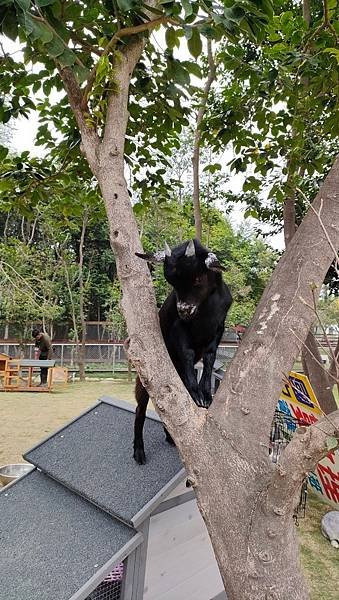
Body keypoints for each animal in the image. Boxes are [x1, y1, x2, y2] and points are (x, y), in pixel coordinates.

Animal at [134, 239, 232, 464]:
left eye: (198, 278)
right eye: (172, 283)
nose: (184, 311)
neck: (205, 311)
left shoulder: (219, 327)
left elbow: (210, 356)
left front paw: (206, 394)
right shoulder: (179, 328)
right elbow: (188, 354)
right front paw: (196, 394)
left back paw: (171, 437)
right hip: (145, 378)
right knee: (141, 408)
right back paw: (138, 451)